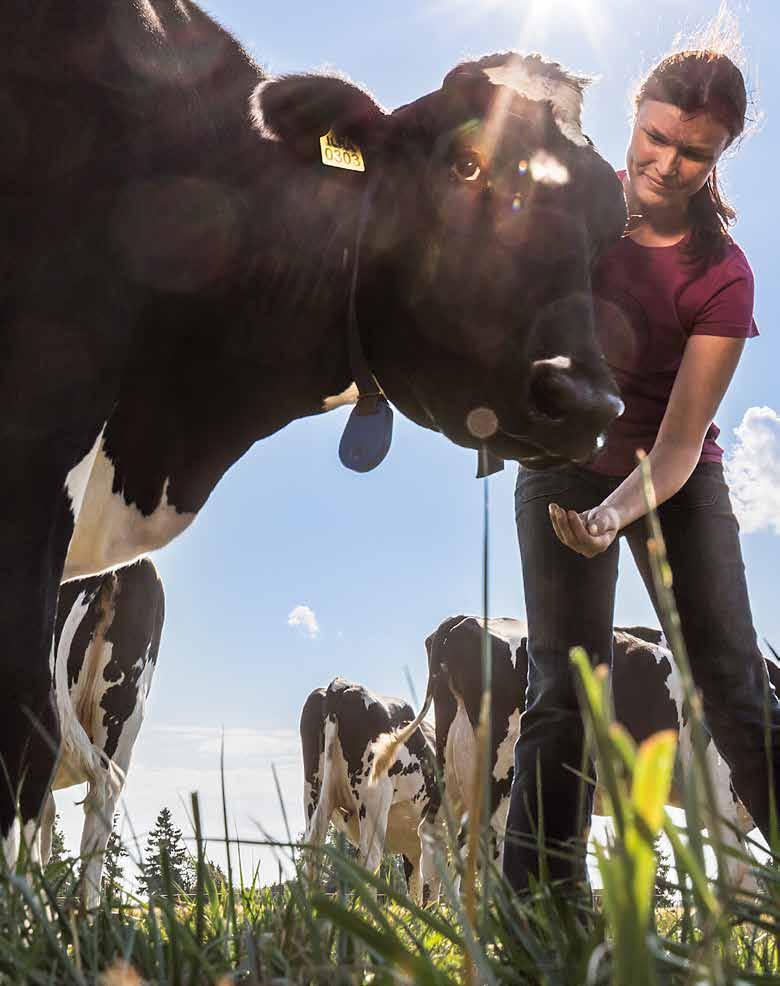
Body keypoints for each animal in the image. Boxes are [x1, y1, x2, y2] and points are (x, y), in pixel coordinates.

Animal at [300, 676, 436, 900]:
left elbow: (418, 890)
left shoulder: (414, 849)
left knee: (311, 859)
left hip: (314, 794)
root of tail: (341, 684)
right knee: (369, 864)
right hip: (374, 802)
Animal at [374, 620, 768, 896]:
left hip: (453, 770)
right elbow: (738, 875)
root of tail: (459, 623)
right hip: (499, 771)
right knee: (487, 842)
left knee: (436, 840)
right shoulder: (719, 784)